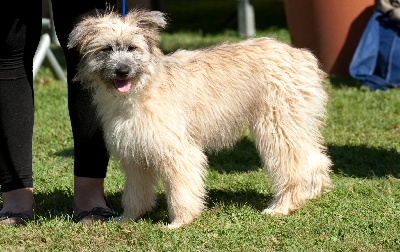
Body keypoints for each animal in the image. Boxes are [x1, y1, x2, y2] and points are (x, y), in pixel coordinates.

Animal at [68, 9, 332, 228]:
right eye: (106, 49)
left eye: (132, 48)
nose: (122, 71)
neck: (141, 89)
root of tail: (301, 56)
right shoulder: (135, 153)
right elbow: (135, 192)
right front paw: (129, 217)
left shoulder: (178, 152)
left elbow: (181, 189)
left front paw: (180, 221)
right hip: (294, 123)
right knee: (314, 158)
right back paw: (312, 191)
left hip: (276, 127)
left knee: (291, 167)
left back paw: (282, 206)